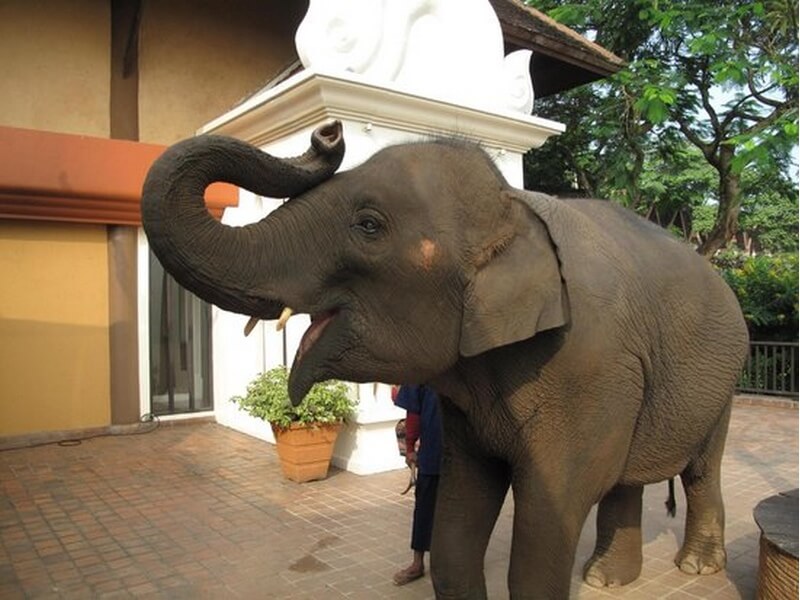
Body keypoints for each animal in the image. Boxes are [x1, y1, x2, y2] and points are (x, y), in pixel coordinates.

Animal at [142, 122, 748, 599]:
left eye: (368, 225)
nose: (328, 132)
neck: (513, 208)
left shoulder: (585, 366)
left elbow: (553, 508)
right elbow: (458, 518)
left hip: (724, 379)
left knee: (700, 469)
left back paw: (693, 566)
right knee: (627, 478)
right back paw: (606, 579)